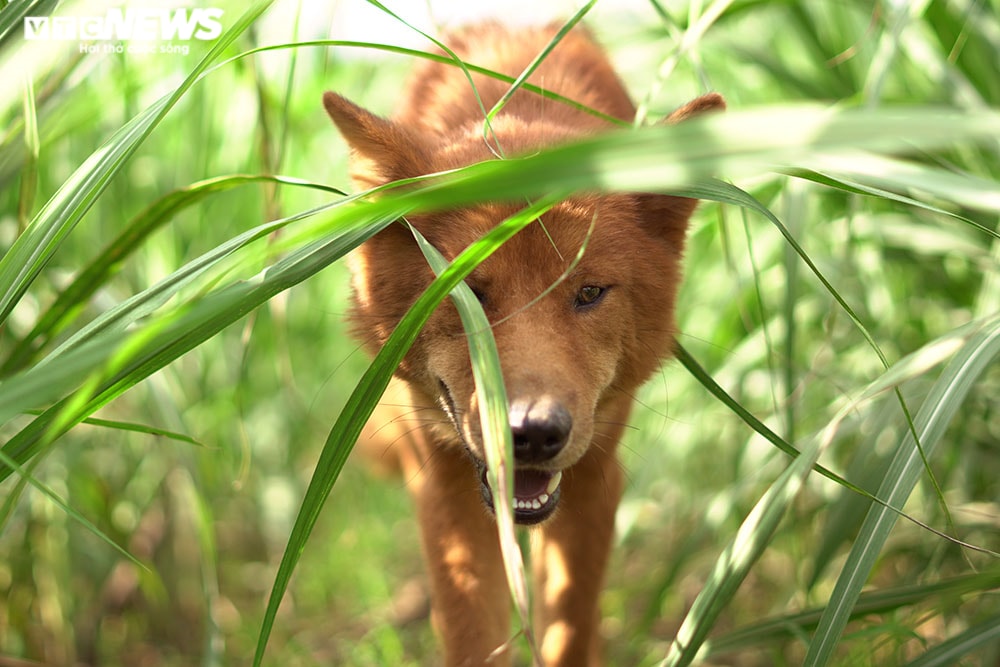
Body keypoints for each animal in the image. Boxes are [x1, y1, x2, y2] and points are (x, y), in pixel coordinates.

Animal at [324, 22, 724, 667]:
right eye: (464, 288)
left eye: (589, 293)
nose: (533, 433)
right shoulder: (443, 480)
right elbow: (470, 633)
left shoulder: (594, 475)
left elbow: (570, 631)